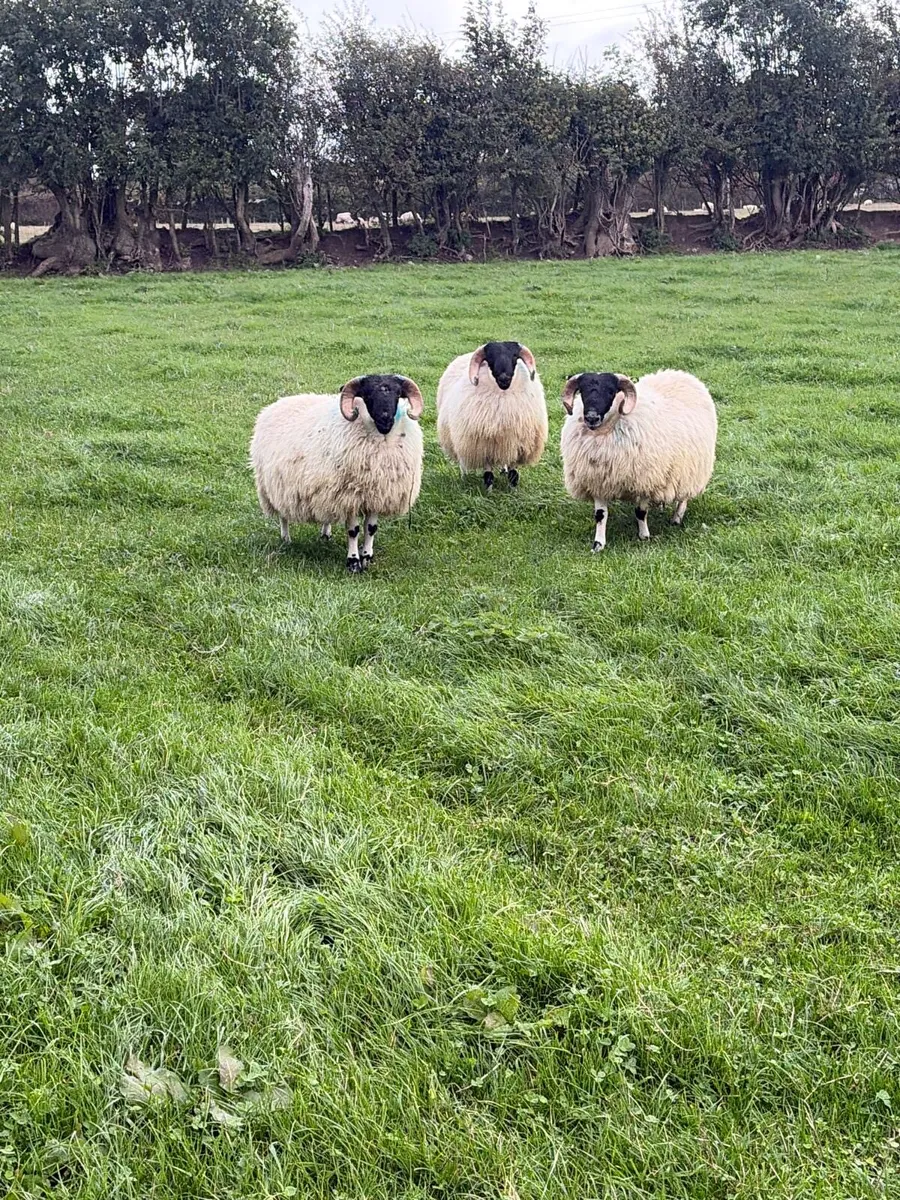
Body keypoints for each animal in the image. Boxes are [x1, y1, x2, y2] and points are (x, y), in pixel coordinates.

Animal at [250, 374, 424, 572]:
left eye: (397, 394)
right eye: (367, 395)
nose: (386, 419)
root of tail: (279, 402)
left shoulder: (376, 494)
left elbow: (371, 528)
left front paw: (367, 557)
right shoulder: (349, 496)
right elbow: (353, 531)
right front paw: (353, 562)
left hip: (325, 490)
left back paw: (325, 534)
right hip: (275, 485)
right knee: (283, 515)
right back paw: (286, 539)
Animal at [435, 341, 548, 491]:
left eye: (514, 356)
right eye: (490, 359)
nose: (504, 378)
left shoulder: (517, 445)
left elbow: (513, 474)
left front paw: (513, 490)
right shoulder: (484, 447)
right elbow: (488, 475)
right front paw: (488, 491)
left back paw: (503, 470)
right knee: (462, 459)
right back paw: (464, 476)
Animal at [559, 369, 717, 551]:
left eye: (611, 391)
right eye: (583, 391)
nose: (591, 418)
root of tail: (681, 374)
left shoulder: (644, 480)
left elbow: (640, 512)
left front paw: (644, 536)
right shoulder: (597, 480)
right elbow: (600, 515)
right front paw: (598, 544)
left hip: (691, 468)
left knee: (684, 496)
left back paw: (677, 518)